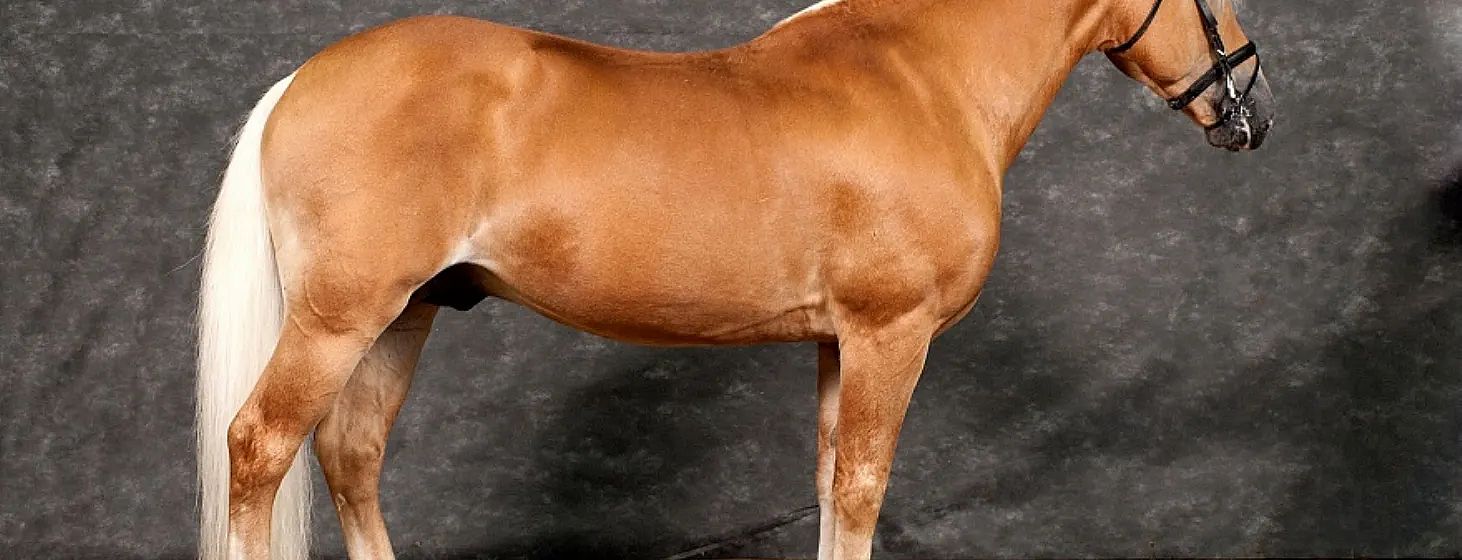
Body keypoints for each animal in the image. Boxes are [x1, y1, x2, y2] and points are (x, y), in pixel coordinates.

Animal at [195, 0, 1273, 558]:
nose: (1254, 113)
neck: (922, 77)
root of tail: (299, 82)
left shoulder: (840, 340)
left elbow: (831, 481)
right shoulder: (892, 333)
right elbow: (864, 484)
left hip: (402, 317)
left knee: (351, 456)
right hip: (339, 320)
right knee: (260, 447)